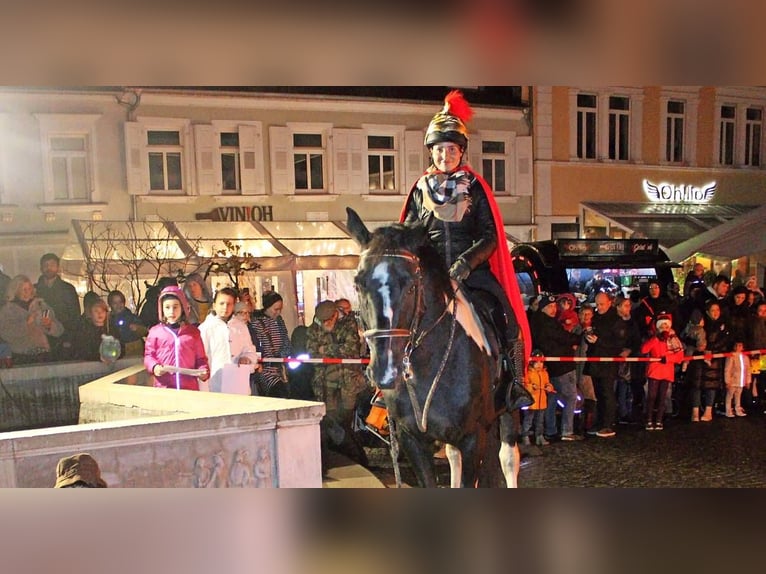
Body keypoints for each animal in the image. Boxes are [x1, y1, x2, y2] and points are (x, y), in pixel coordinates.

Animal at [350, 209, 520, 488]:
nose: (384, 371)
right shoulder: (412, 440)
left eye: (411, 285)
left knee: (508, 459)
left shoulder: (473, 437)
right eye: (357, 284)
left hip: (508, 409)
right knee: (453, 457)